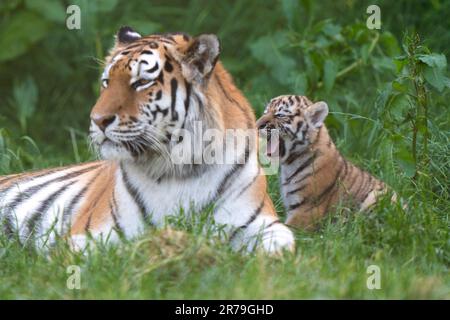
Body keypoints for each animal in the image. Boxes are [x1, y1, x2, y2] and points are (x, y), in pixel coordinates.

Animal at [0, 26, 296, 252]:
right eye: (106, 82)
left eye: (141, 83)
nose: (97, 120)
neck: (180, 169)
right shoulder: (89, 234)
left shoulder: (261, 223)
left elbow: (281, 247)